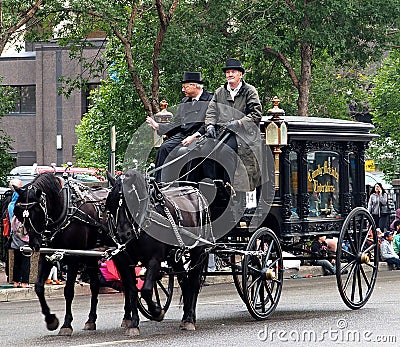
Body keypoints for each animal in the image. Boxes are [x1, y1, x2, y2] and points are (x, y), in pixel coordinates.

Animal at [12, 174, 133, 338]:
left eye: (37, 212)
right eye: (20, 213)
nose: (35, 244)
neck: (64, 209)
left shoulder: (73, 258)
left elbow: (68, 291)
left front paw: (66, 324)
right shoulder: (47, 255)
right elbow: (38, 287)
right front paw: (51, 320)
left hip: (120, 253)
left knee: (127, 282)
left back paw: (128, 317)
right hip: (91, 256)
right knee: (95, 285)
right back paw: (91, 320)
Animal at [106, 170, 212, 336]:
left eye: (132, 200)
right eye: (111, 203)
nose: (124, 235)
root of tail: (197, 192)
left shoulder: (154, 259)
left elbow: (146, 290)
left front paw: (157, 310)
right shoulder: (124, 262)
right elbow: (132, 291)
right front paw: (134, 324)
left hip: (199, 250)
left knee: (194, 282)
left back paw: (189, 319)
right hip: (176, 256)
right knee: (184, 281)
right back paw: (186, 317)